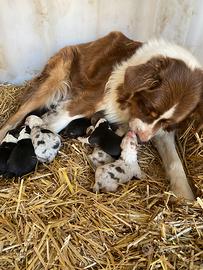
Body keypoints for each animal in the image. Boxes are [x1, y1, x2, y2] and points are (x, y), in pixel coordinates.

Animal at [0, 32, 203, 200]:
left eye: (168, 121)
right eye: (147, 108)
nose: (142, 139)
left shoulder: (160, 131)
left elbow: (175, 162)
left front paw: (185, 196)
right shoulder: (87, 99)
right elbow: (53, 125)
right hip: (55, 78)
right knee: (12, 120)